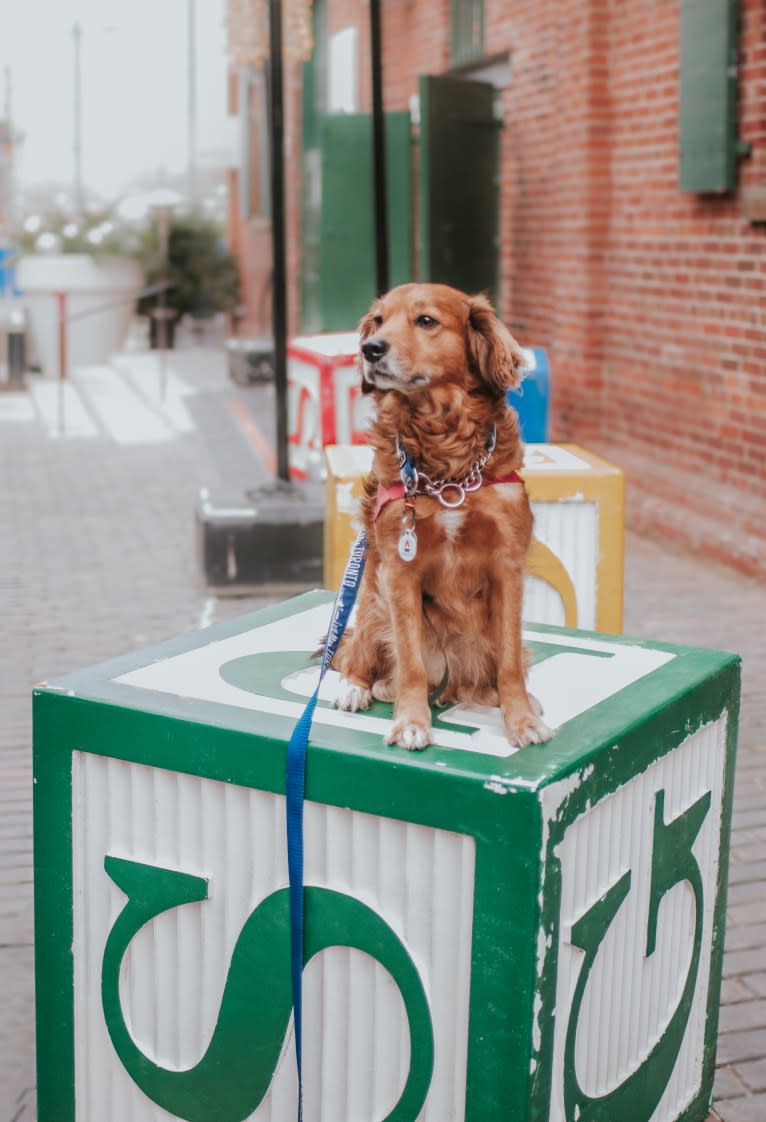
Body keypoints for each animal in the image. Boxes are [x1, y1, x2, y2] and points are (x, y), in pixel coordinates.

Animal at [331, 284, 551, 749]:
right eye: (378, 322)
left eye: (426, 321)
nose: (370, 349)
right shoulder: (400, 573)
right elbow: (411, 662)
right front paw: (412, 722)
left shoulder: (507, 566)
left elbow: (509, 663)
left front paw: (521, 719)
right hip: (373, 601)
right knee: (357, 654)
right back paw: (359, 687)